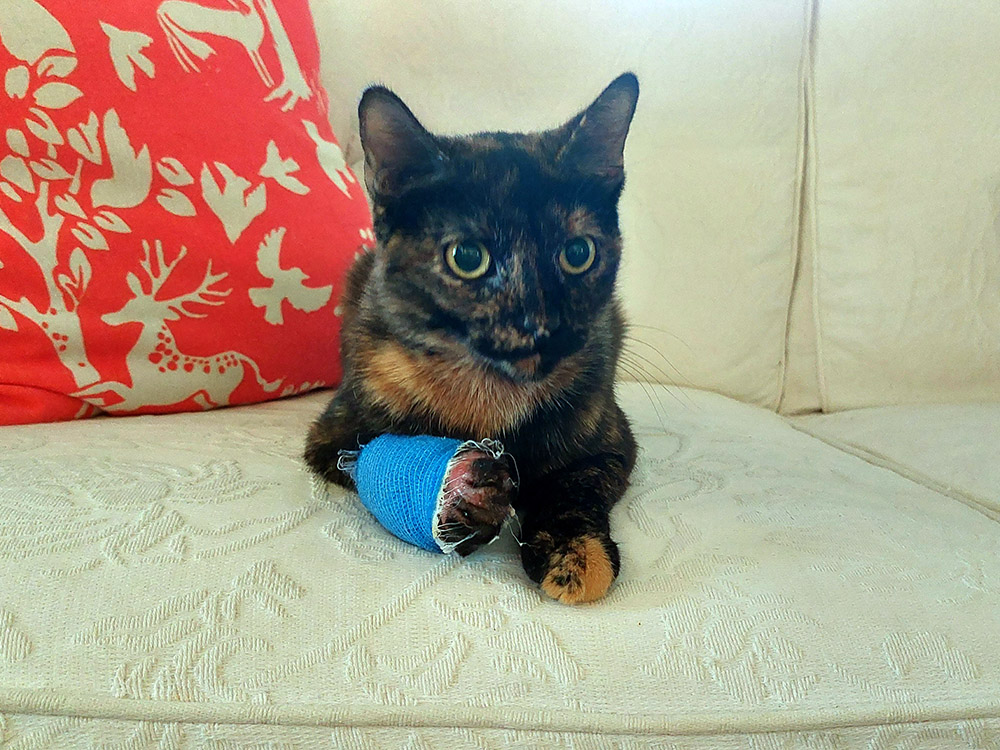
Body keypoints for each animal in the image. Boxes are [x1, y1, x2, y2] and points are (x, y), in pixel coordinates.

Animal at [304, 73, 639, 604]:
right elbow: (362, 461)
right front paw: (466, 495)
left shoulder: (612, 443)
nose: (539, 325)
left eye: (578, 253)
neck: (490, 394)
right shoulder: (331, 435)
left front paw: (575, 556)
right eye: (467, 257)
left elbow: (574, 486)